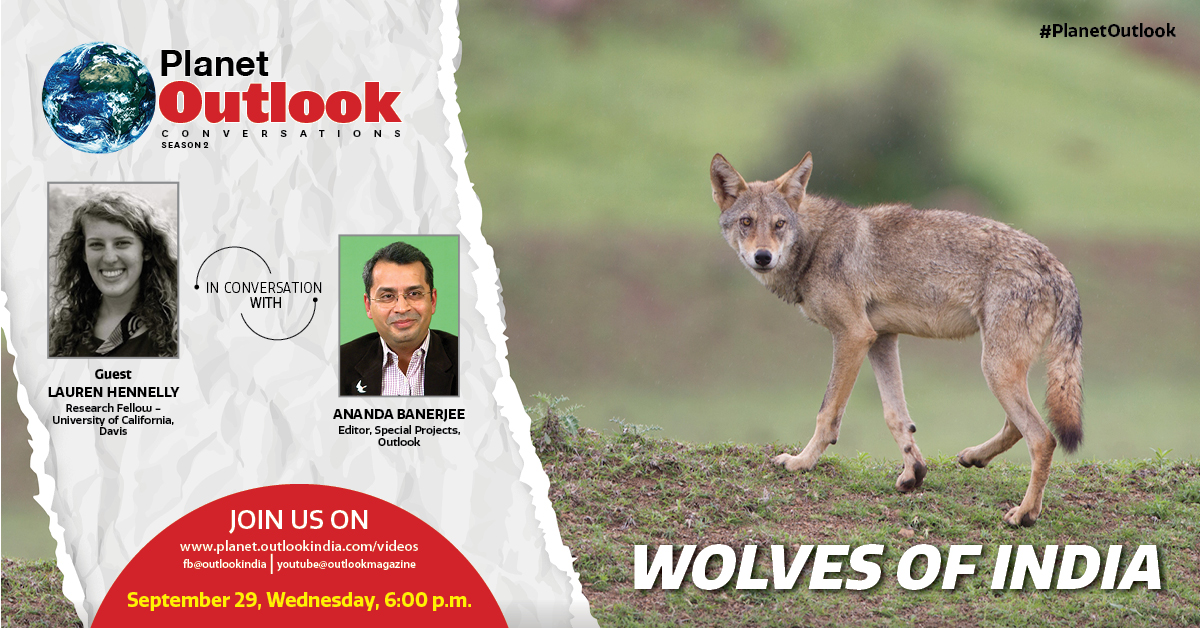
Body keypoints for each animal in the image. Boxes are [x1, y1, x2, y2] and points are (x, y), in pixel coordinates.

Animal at [710, 152, 1083, 527]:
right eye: (746, 222)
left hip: (995, 368)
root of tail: (1056, 265)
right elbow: (896, 415)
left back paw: (1025, 513)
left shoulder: (853, 335)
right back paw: (973, 457)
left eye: (779, 224)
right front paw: (913, 472)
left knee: (1042, 438)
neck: (816, 244)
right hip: (1002, 369)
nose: (763, 257)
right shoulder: (881, 338)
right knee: (1017, 427)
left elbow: (827, 413)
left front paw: (802, 462)